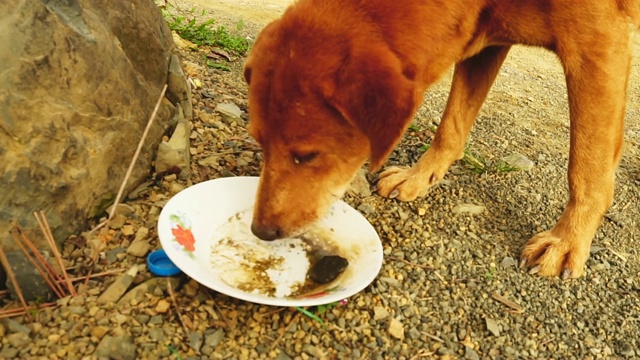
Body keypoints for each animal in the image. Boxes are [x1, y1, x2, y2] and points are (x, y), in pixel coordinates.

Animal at [242, 0, 636, 278]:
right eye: (261, 144)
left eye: (306, 156)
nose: (260, 231)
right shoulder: (486, 41)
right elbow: (452, 125)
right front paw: (419, 178)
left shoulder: (598, 45)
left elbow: (587, 167)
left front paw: (568, 240)